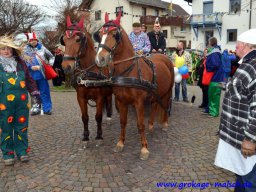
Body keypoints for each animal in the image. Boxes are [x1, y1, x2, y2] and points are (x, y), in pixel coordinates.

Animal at [94, 13, 174, 160]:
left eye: (115, 34)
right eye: (100, 34)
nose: (99, 59)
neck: (128, 71)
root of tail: (163, 56)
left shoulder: (139, 102)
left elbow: (140, 124)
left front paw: (144, 149)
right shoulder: (121, 101)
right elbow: (123, 122)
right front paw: (120, 143)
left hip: (168, 91)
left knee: (165, 104)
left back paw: (165, 123)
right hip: (155, 92)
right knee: (154, 105)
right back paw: (151, 125)